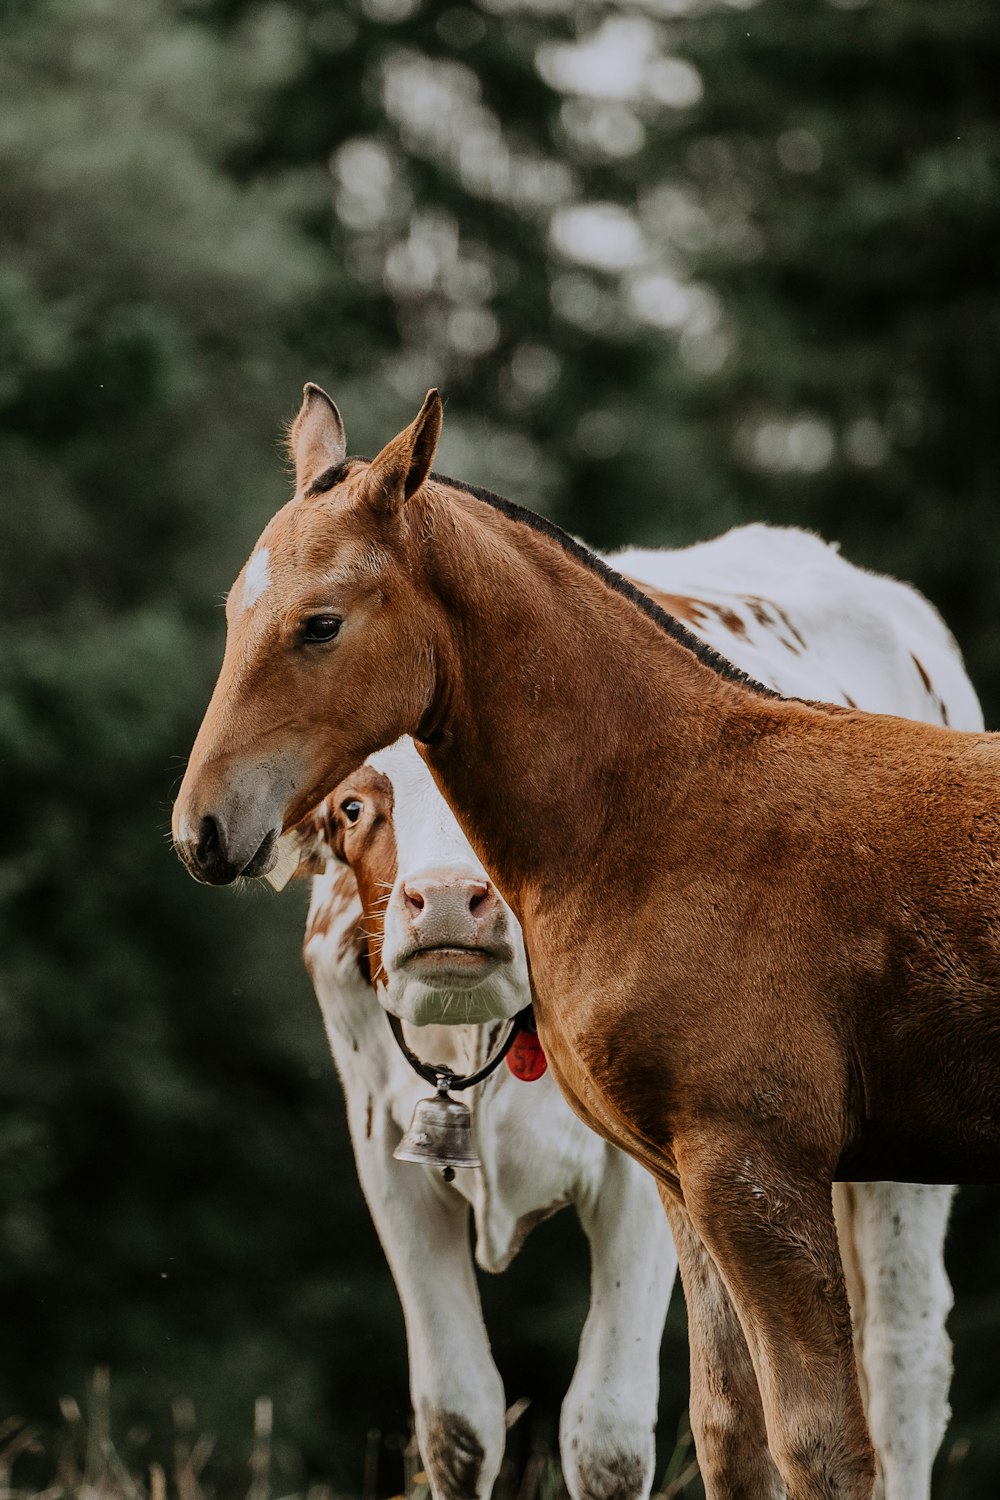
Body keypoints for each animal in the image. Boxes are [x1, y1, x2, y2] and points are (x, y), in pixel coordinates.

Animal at [173, 390, 1000, 1500]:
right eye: (234, 613)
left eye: (321, 623)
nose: (203, 828)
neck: (665, 805)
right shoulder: (676, 1179)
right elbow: (722, 1430)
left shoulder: (750, 1168)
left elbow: (814, 1445)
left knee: (904, 1371)